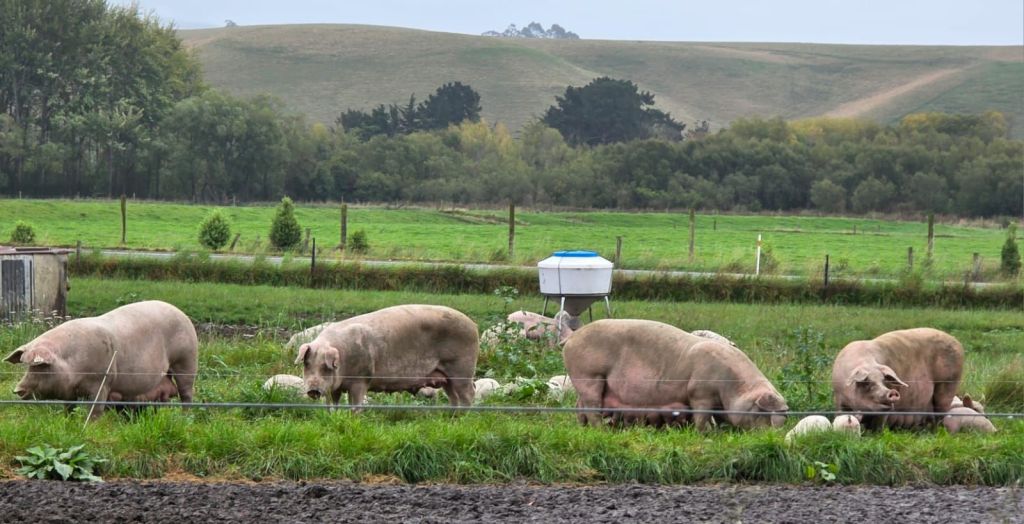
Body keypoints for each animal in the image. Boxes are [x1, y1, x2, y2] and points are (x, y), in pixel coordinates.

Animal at [5, 300, 198, 419]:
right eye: (27, 366)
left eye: (39, 367)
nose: (17, 389)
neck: (72, 363)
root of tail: (183, 314)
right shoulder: (70, 392)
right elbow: (69, 407)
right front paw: (68, 422)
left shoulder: (102, 382)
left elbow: (95, 409)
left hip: (186, 361)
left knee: (186, 394)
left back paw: (185, 418)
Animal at [296, 305, 479, 407]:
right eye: (307, 364)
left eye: (325, 367)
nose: (313, 390)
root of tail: (474, 325)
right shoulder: (335, 387)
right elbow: (332, 404)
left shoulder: (361, 380)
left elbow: (355, 405)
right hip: (447, 377)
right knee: (453, 396)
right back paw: (452, 417)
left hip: (462, 368)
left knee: (469, 393)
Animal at [563, 319, 788, 431]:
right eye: (764, 414)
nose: (773, 437)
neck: (733, 384)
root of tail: (572, 338)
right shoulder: (700, 393)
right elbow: (701, 417)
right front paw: (705, 433)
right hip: (588, 375)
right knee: (591, 407)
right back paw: (599, 430)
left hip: (585, 383)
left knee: (579, 405)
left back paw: (583, 427)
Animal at [832, 328, 963, 431]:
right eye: (868, 384)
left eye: (884, 381)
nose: (892, 392)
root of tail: (957, 342)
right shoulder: (839, 397)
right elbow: (840, 413)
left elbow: (878, 424)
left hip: (948, 384)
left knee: (940, 412)